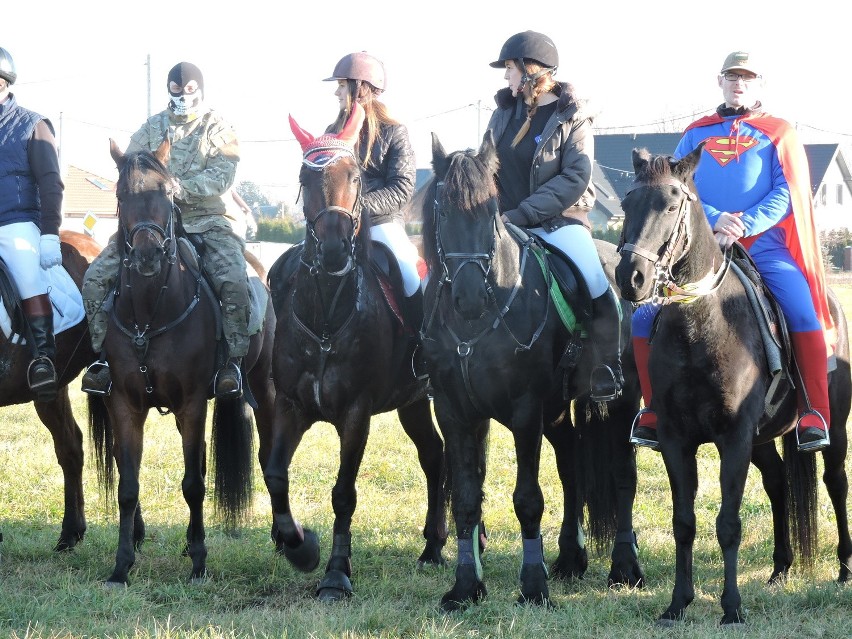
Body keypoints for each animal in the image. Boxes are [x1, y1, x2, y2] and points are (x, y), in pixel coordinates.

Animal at [88, 139, 278, 584]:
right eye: (122, 195)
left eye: (168, 193)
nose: (147, 256)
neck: (148, 314)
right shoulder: (125, 404)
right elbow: (128, 486)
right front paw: (121, 566)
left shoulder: (192, 404)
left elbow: (193, 483)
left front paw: (199, 564)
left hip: (262, 387)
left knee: (266, 457)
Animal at [268, 102, 450, 604]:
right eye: (305, 178)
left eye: (354, 176)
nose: (332, 250)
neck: (327, 317)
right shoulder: (290, 406)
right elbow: (275, 475)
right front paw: (300, 547)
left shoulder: (355, 414)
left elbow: (343, 493)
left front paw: (335, 575)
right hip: (413, 404)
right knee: (435, 456)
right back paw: (432, 547)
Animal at [414, 132, 644, 612]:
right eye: (443, 211)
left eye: (490, 211)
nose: (469, 297)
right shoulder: (454, 412)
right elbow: (466, 499)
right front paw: (466, 586)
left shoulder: (524, 412)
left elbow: (528, 500)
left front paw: (534, 585)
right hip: (555, 412)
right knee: (571, 464)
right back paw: (572, 558)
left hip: (621, 402)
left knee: (622, 476)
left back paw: (624, 567)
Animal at [616, 148, 848, 628]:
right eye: (627, 203)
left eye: (671, 205)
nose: (631, 277)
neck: (701, 324)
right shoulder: (676, 439)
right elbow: (684, 521)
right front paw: (677, 603)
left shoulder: (734, 437)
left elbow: (728, 523)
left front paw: (731, 608)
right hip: (761, 441)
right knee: (778, 483)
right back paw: (781, 567)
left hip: (833, 429)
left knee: (836, 483)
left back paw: (845, 567)